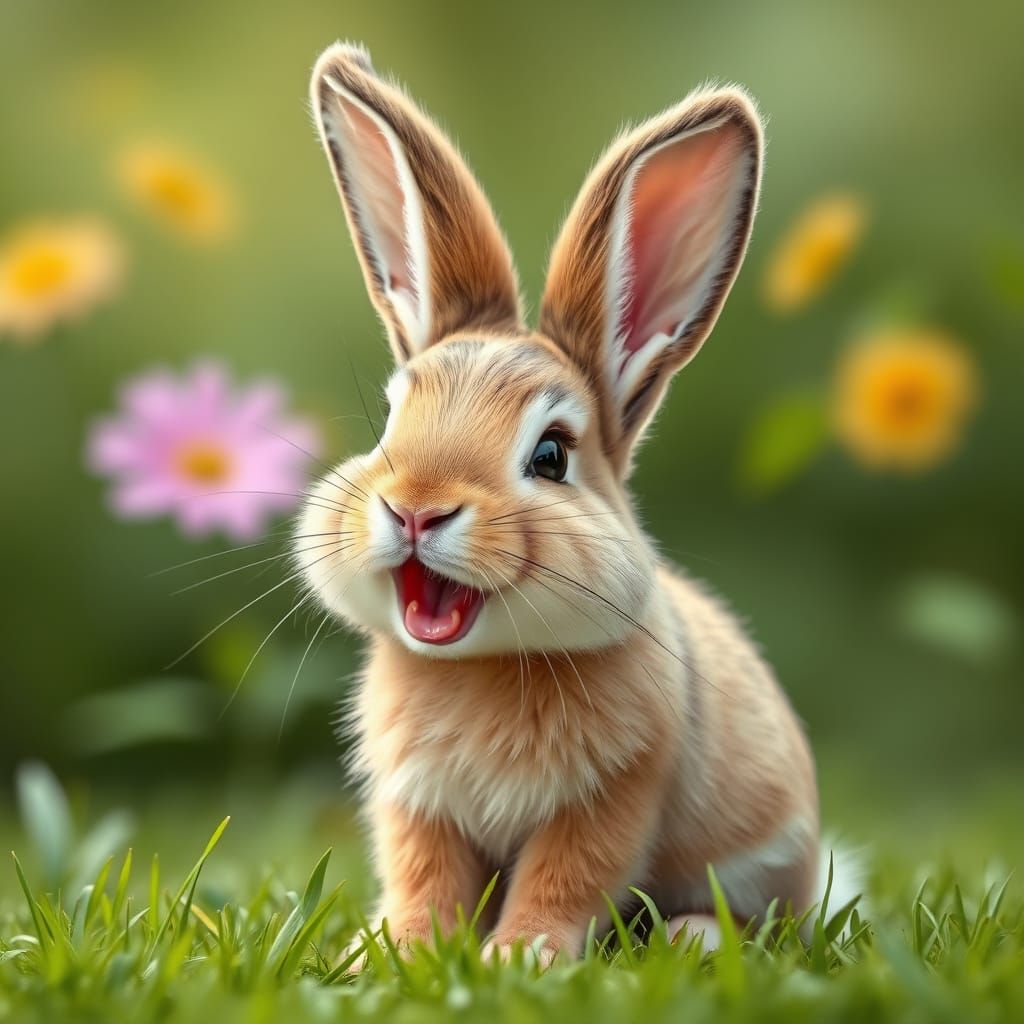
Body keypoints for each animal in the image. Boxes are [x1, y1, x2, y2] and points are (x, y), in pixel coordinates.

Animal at [296, 41, 845, 963]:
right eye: (392, 420)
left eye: (551, 455)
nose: (416, 509)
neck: (482, 667)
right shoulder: (419, 808)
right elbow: (424, 883)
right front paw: (397, 950)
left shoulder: (612, 798)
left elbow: (565, 881)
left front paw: (520, 957)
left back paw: (692, 937)